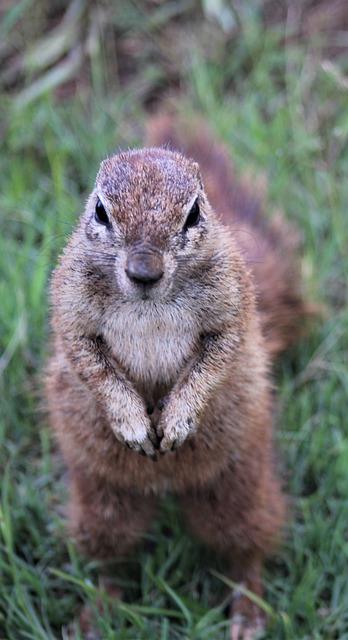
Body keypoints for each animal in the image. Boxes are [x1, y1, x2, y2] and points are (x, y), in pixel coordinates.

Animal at [45, 114, 310, 636]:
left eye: (193, 214)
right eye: (101, 211)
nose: (143, 271)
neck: (149, 302)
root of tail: (165, 485)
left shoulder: (232, 303)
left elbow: (218, 356)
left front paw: (178, 418)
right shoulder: (71, 307)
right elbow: (88, 360)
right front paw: (131, 421)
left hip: (237, 483)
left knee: (247, 546)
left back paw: (248, 611)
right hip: (102, 501)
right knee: (112, 557)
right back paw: (96, 612)